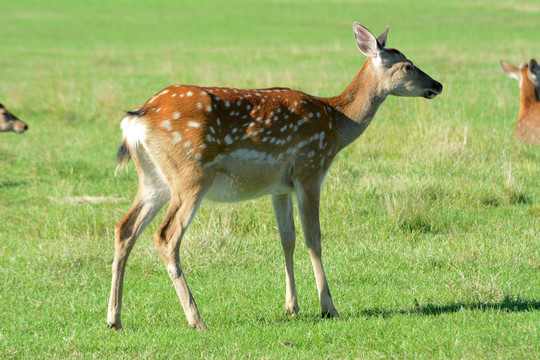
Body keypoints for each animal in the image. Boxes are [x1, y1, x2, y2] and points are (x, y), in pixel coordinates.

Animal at [106, 23, 442, 332]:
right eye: (408, 65)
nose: (437, 84)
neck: (336, 124)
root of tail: (136, 118)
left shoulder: (279, 187)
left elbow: (287, 239)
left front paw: (292, 306)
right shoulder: (310, 169)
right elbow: (313, 238)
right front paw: (328, 307)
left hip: (154, 179)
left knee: (125, 228)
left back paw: (114, 319)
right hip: (191, 174)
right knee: (166, 235)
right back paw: (196, 319)